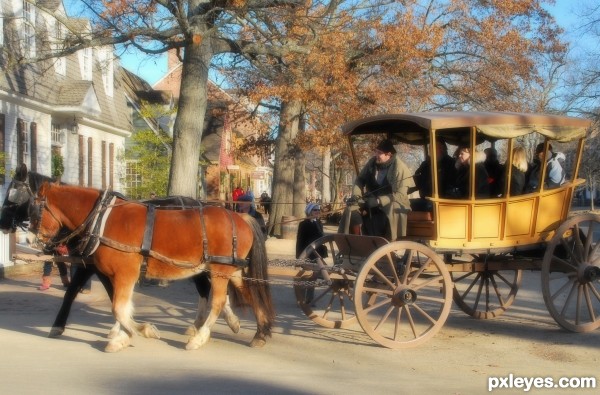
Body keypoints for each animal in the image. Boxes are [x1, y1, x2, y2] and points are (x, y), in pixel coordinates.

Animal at [30, 183, 274, 352]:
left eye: (33, 210)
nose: (35, 241)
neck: (102, 220)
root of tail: (240, 217)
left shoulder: (124, 273)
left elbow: (118, 308)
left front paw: (140, 331)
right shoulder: (112, 274)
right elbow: (120, 306)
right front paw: (122, 335)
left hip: (219, 270)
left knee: (218, 301)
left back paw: (199, 338)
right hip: (230, 270)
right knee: (250, 292)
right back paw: (260, 332)